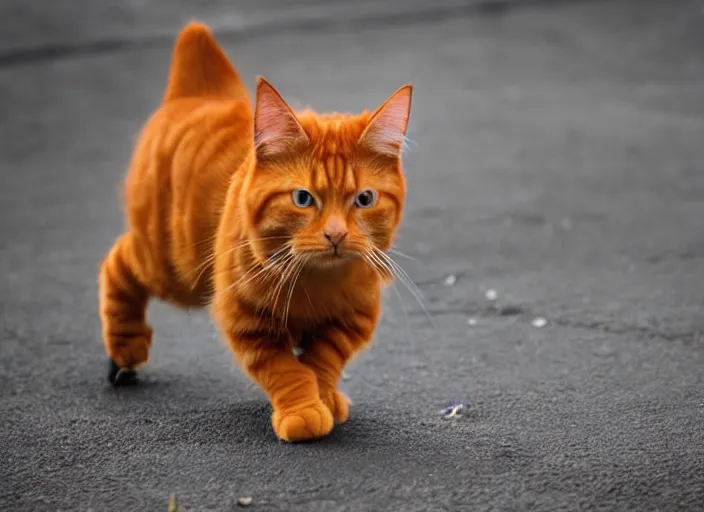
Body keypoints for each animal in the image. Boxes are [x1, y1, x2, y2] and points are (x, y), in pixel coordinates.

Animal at [96, 22, 410, 442]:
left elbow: (323, 361)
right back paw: (126, 347)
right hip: (174, 268)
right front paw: (304, 411)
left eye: (364, 199)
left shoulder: (352, 318)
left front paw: (326, 398)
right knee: (117, 263)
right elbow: (287, 371)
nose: (336, 235)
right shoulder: (247, 321)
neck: (316, 283)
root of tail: (202, 94)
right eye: (303, 198)